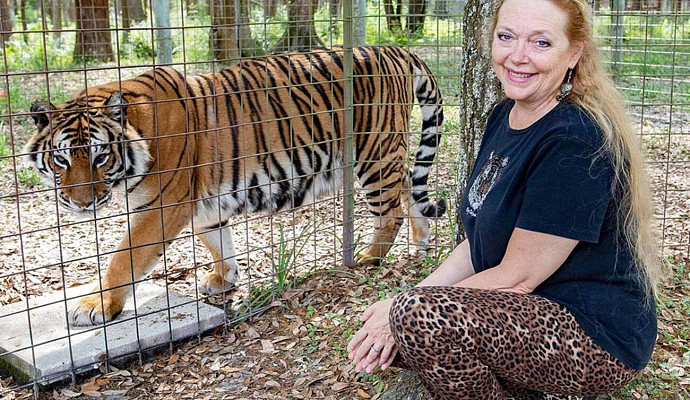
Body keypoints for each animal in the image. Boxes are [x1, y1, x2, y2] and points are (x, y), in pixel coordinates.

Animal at [22, 45, 446, 326]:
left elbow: (125, 258)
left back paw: (368, 258)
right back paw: (422, 240)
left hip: (374, 151)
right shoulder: (201, 203)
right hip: (387, 152)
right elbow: (217, 240)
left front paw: (95, 305)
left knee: (389, 212)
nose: (81, 203)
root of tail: (394, 48)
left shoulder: (163, 206)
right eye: (61, 160)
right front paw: (224, 279)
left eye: (100, 157)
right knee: (408, 187)